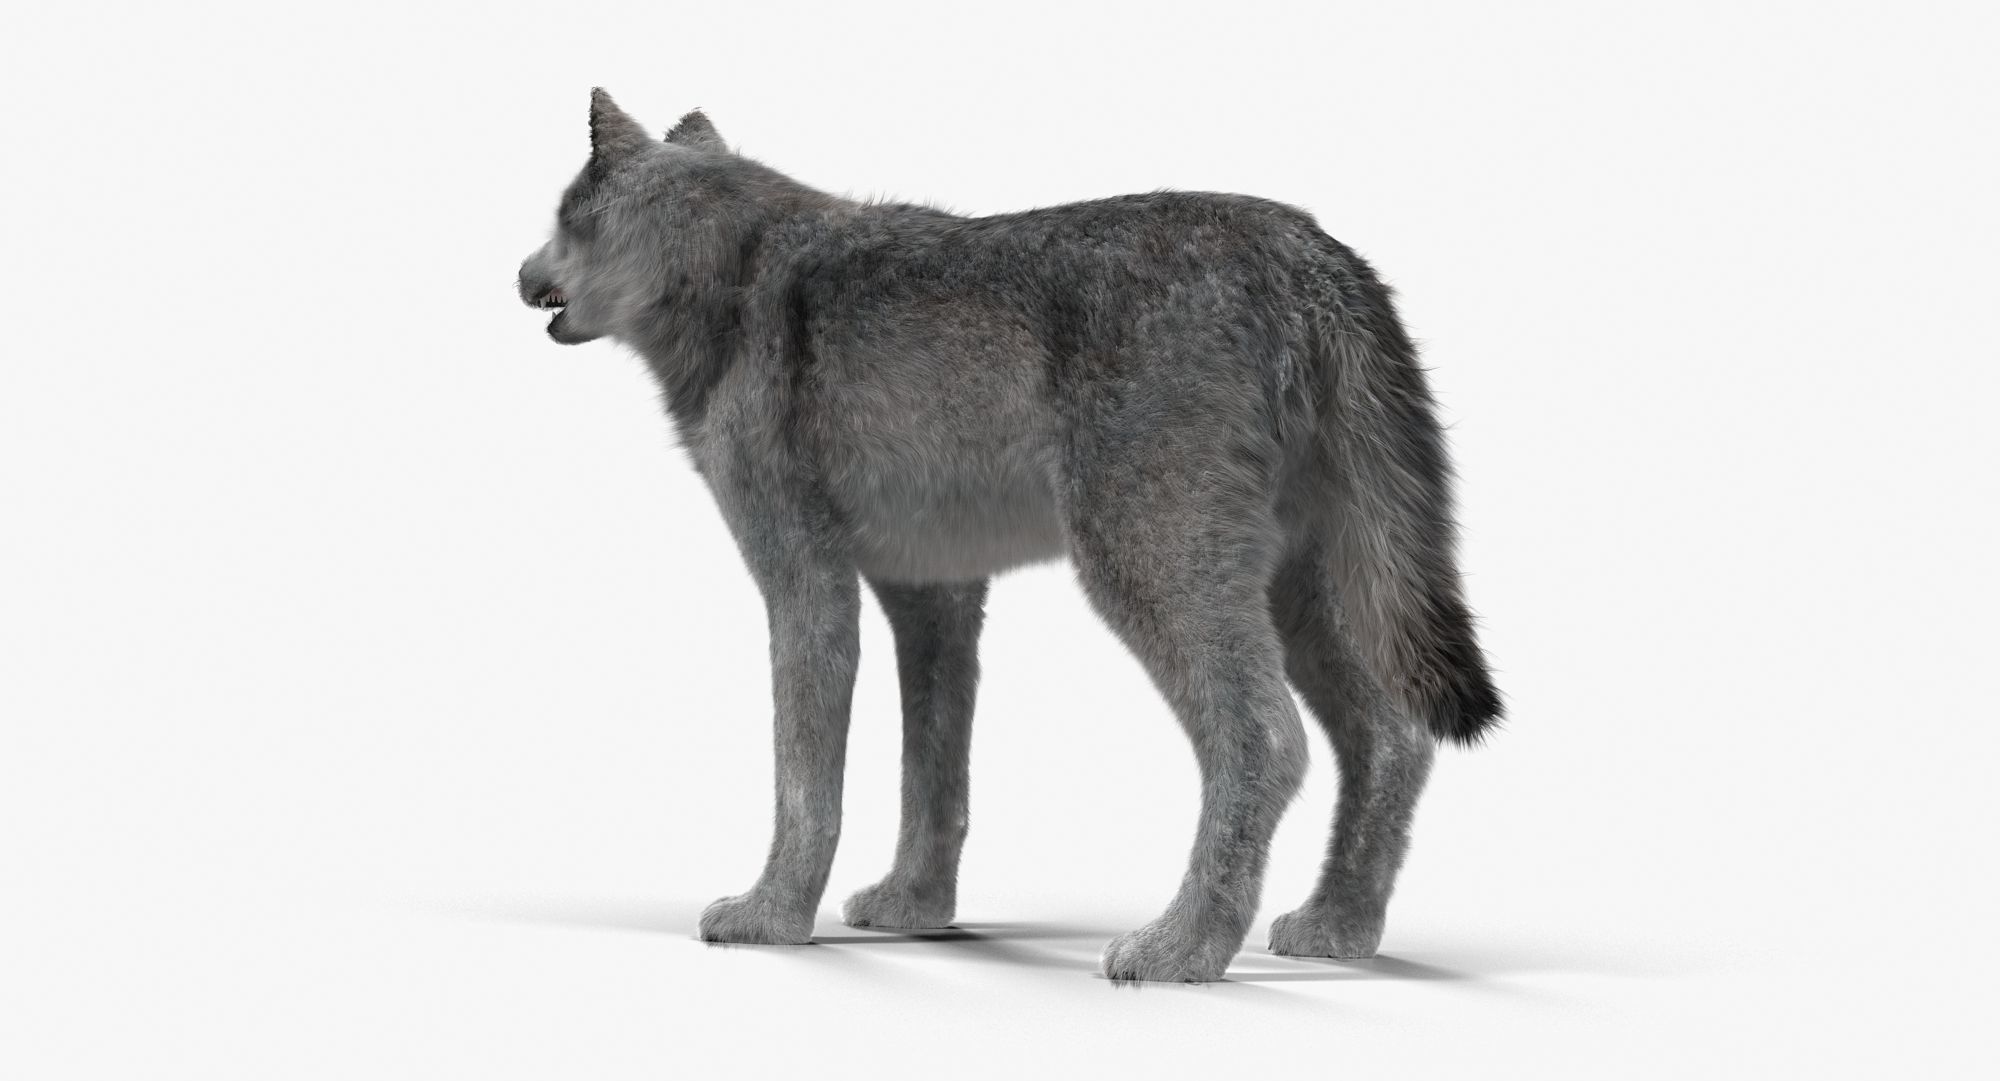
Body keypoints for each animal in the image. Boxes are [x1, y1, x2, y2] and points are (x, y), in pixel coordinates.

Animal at [517, 90, 1501, 982]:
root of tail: (1310, 250)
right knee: (1392, 735)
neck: (730, 272)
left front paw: (769, 915)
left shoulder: (805, 580)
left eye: (563, 216)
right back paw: (1337, 929)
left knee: (1269, 738)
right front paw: (914, 906)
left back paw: (1182, 949)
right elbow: (933, 773)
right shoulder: (934, 593)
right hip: (1307, 590)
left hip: (1151, 568)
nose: (520, 274)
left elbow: (805, 776)